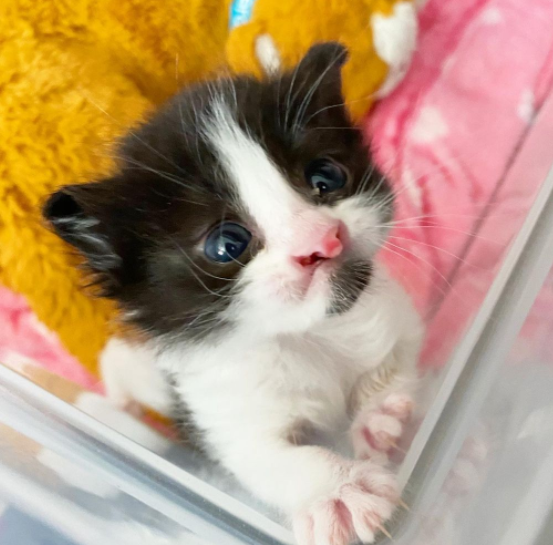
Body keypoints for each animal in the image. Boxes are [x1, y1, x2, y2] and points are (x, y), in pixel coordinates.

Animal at [44, 43, 422, 544]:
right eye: (227, 245)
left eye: (326, 177)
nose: (323, 240)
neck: (307, 337)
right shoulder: (224, 407)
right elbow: (265, 458)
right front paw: (338, 490)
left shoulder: (395, 318)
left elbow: (396, 368)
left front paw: (381, 420)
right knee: (118, 365)